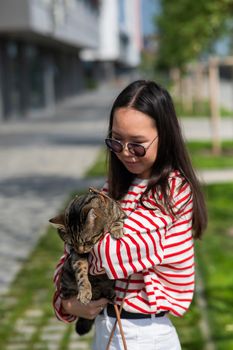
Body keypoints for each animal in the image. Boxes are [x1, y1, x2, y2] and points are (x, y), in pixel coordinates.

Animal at [49, 187, 125, 334]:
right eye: (71, 243)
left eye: (86, 241)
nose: (80, 250)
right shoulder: (75, 256)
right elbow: (81, 273)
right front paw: (84, 291)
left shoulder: (121, 212)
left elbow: (118, 220)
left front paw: (117, 230)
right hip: (66, 278)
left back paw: (109, 292)